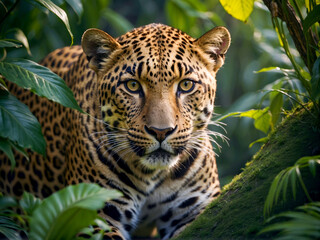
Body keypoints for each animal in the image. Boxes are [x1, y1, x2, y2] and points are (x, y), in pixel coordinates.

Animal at [0, 23, 230, 240]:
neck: (152, 175)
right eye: (132, 86)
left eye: (186, 85)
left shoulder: (196, 209)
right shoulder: (90, 213)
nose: (161, 131)